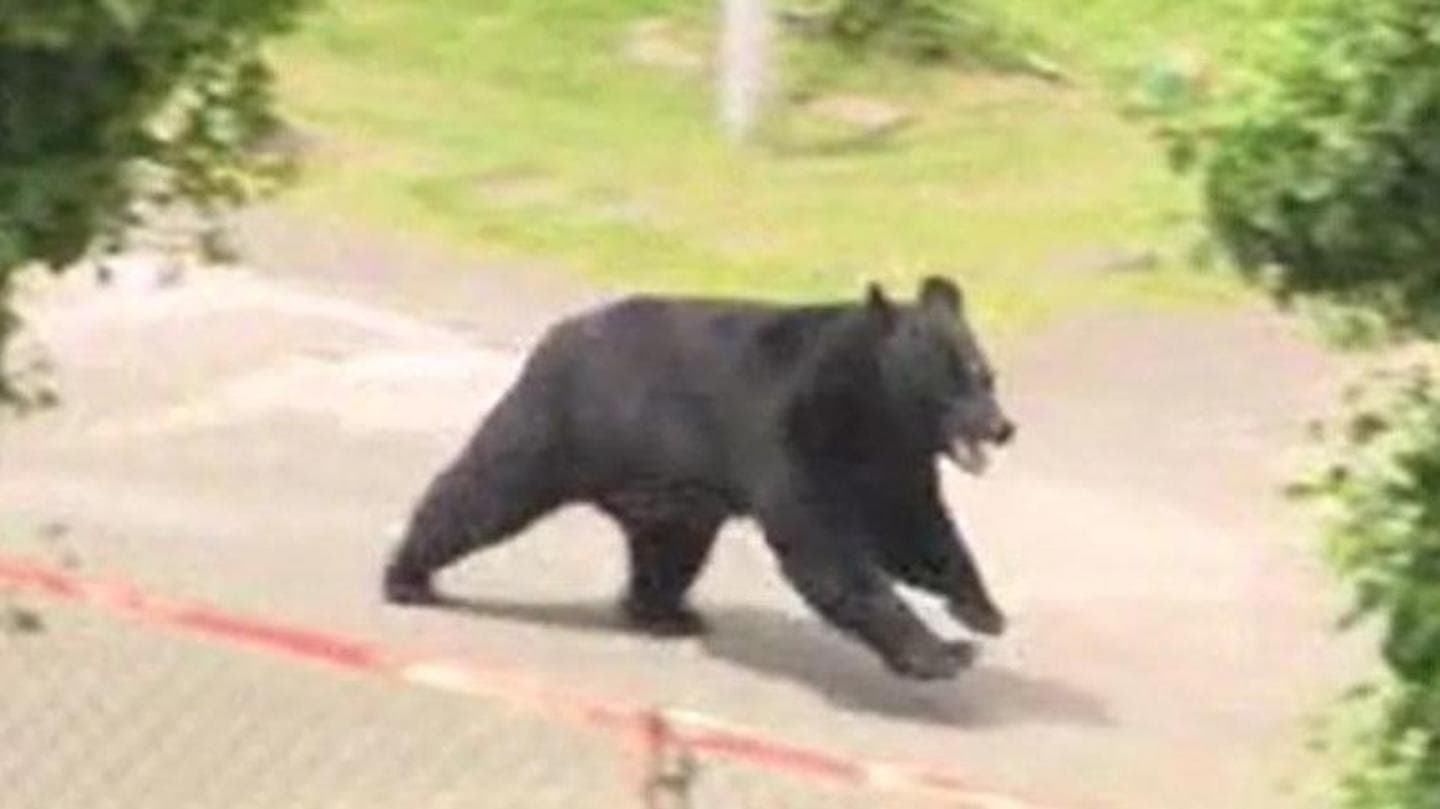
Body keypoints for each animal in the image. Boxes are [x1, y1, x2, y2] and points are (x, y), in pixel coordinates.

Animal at [382, 276, 1015, 680]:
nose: (1002, 427)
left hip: (667, 492)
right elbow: (825, 548)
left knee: (670, 553)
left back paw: (664, 614)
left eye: (986, 373)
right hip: (559, 427)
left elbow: (916, 531)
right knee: (483, 493)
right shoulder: (793, 432)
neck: (873, 407)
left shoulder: (894, 463)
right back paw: (407, 577)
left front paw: (981, 611)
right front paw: (941, 654)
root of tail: (560, 332)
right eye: (956, 377)